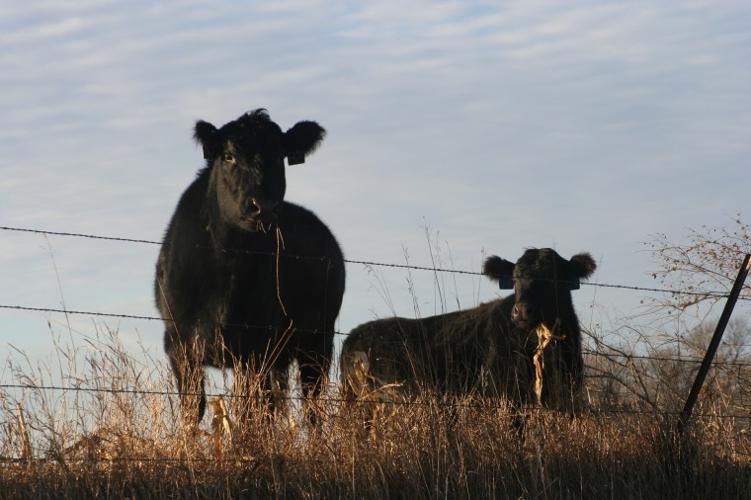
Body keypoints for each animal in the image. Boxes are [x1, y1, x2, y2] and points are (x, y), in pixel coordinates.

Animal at [155, 109, 345, 423]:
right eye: (228, 156)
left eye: (280, 155)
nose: (263, 207)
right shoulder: (178, 344)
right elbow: (193, 407)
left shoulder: (256, 346)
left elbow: (250, 410)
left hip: (317, 341)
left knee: (310, 403)